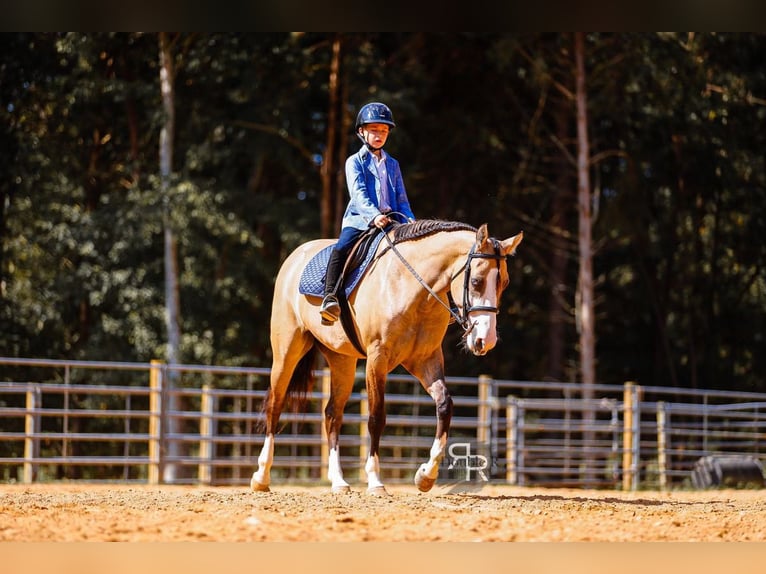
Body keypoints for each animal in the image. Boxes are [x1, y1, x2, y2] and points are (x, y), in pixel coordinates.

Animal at [250, 219, 523, 495]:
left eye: (505, 283)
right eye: (477, 281)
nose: (486, 340)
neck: (412, 286)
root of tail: (296, 256)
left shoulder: (426, 359)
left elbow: (445, 405)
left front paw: (426, 476)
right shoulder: (377, 359)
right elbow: (376, 417)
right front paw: (375, 480)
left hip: (342, 361)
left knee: (332, 414)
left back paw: (338, 481)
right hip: (286, 351)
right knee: (275, 405)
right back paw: (261, 476)